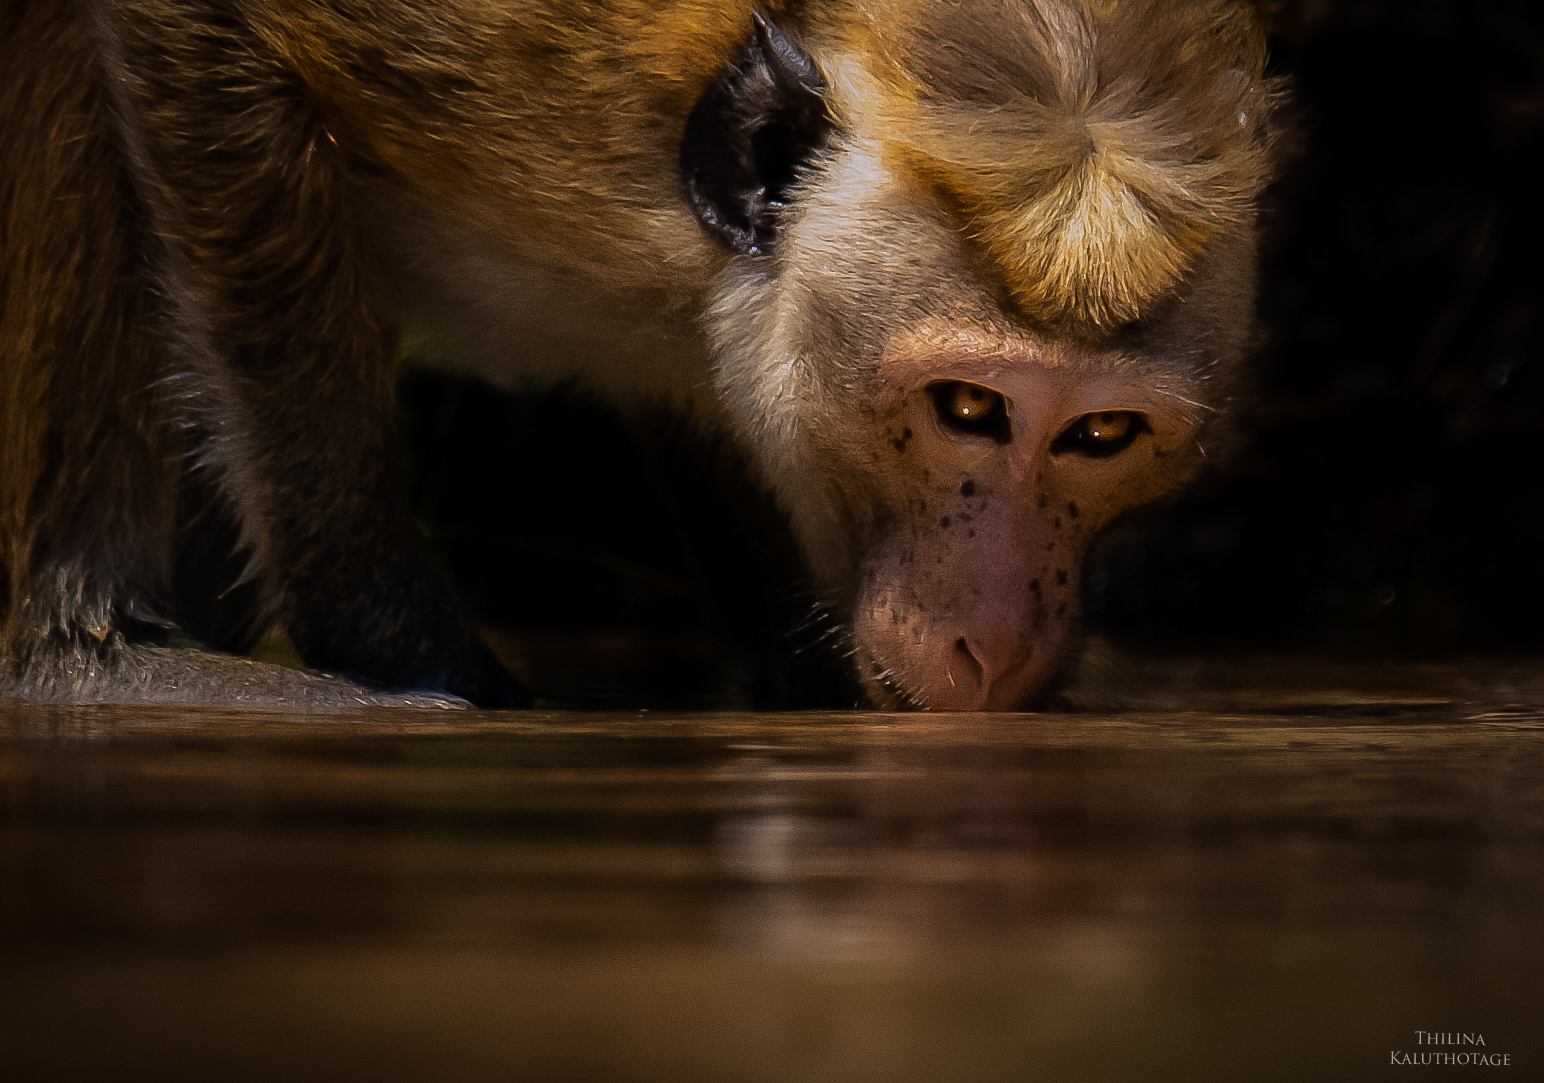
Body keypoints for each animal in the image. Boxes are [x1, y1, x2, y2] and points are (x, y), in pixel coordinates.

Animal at [0, 0, 1277, 710]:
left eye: (1099, 433)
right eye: (968, 409)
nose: (995, 645)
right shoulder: (516, 63)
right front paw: (405, 655)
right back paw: (92, 658)